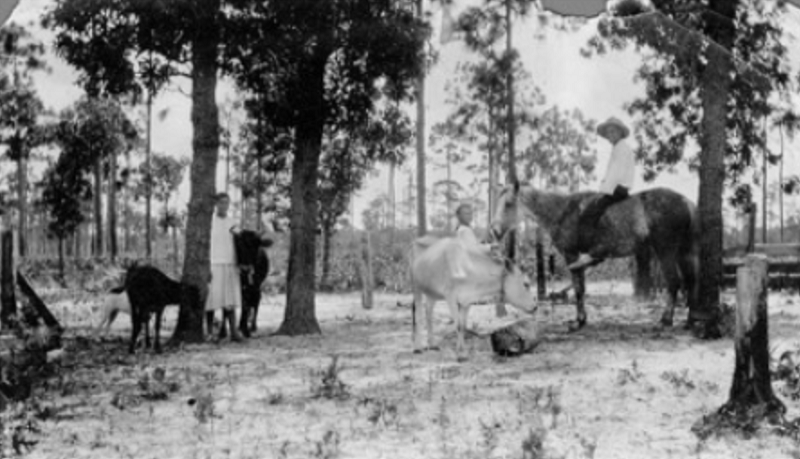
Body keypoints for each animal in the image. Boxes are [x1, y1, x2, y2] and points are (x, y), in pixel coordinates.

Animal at [490, 183, 696, 330]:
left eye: (508, 204)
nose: (495, 231)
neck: (562, 211)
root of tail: (685, 201)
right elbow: (580, 287)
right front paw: (581, 319)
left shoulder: (571, 254)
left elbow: (579, 289)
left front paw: (579, 321)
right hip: (682, 253)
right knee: (690, 281)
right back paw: (690, 321)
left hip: (665, 250)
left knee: (674, 282)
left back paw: (666, 319)